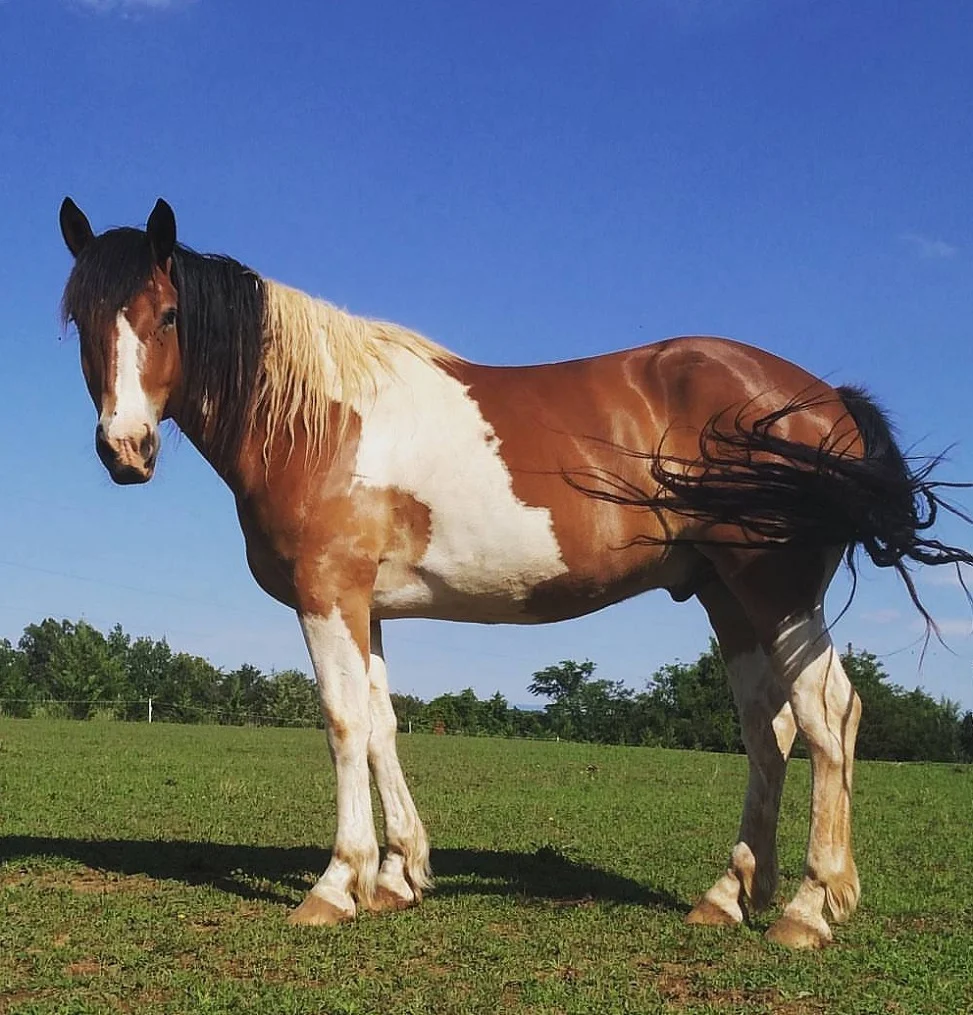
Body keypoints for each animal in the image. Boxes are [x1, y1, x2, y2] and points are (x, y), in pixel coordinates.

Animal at [58, 197, 972, 949]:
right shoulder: (369, 606)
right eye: (80, 320)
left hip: (774, 594)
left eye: (167, 313)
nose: (124, 449)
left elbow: (343, 724)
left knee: (828, 715)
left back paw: (809, 908)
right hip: (728, 599)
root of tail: (827, 399)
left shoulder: (327, 594)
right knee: (767, 729)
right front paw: (398, 875)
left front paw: (335, 883)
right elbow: (383, 723)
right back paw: (727, 894)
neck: (318, 418)